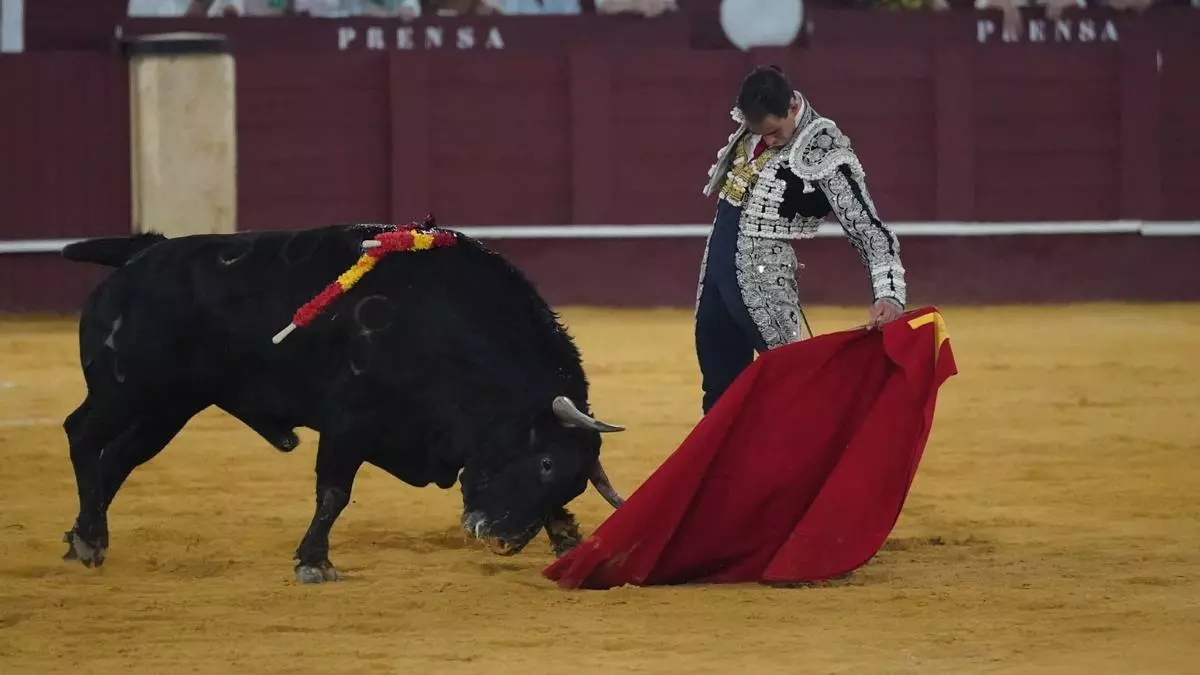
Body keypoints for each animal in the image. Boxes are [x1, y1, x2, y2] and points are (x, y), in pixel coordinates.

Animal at [58, 223, 628, 581]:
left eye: (573, 478)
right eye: (546, 461)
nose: (502, 540)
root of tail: (142, 254)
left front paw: (570, 544)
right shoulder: (349, 421)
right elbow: (333, 492)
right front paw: (314, 562)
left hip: (168, 406)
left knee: (119, 459)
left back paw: (83, 537)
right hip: (124, 390)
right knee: (82, 434)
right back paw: (89, 538)